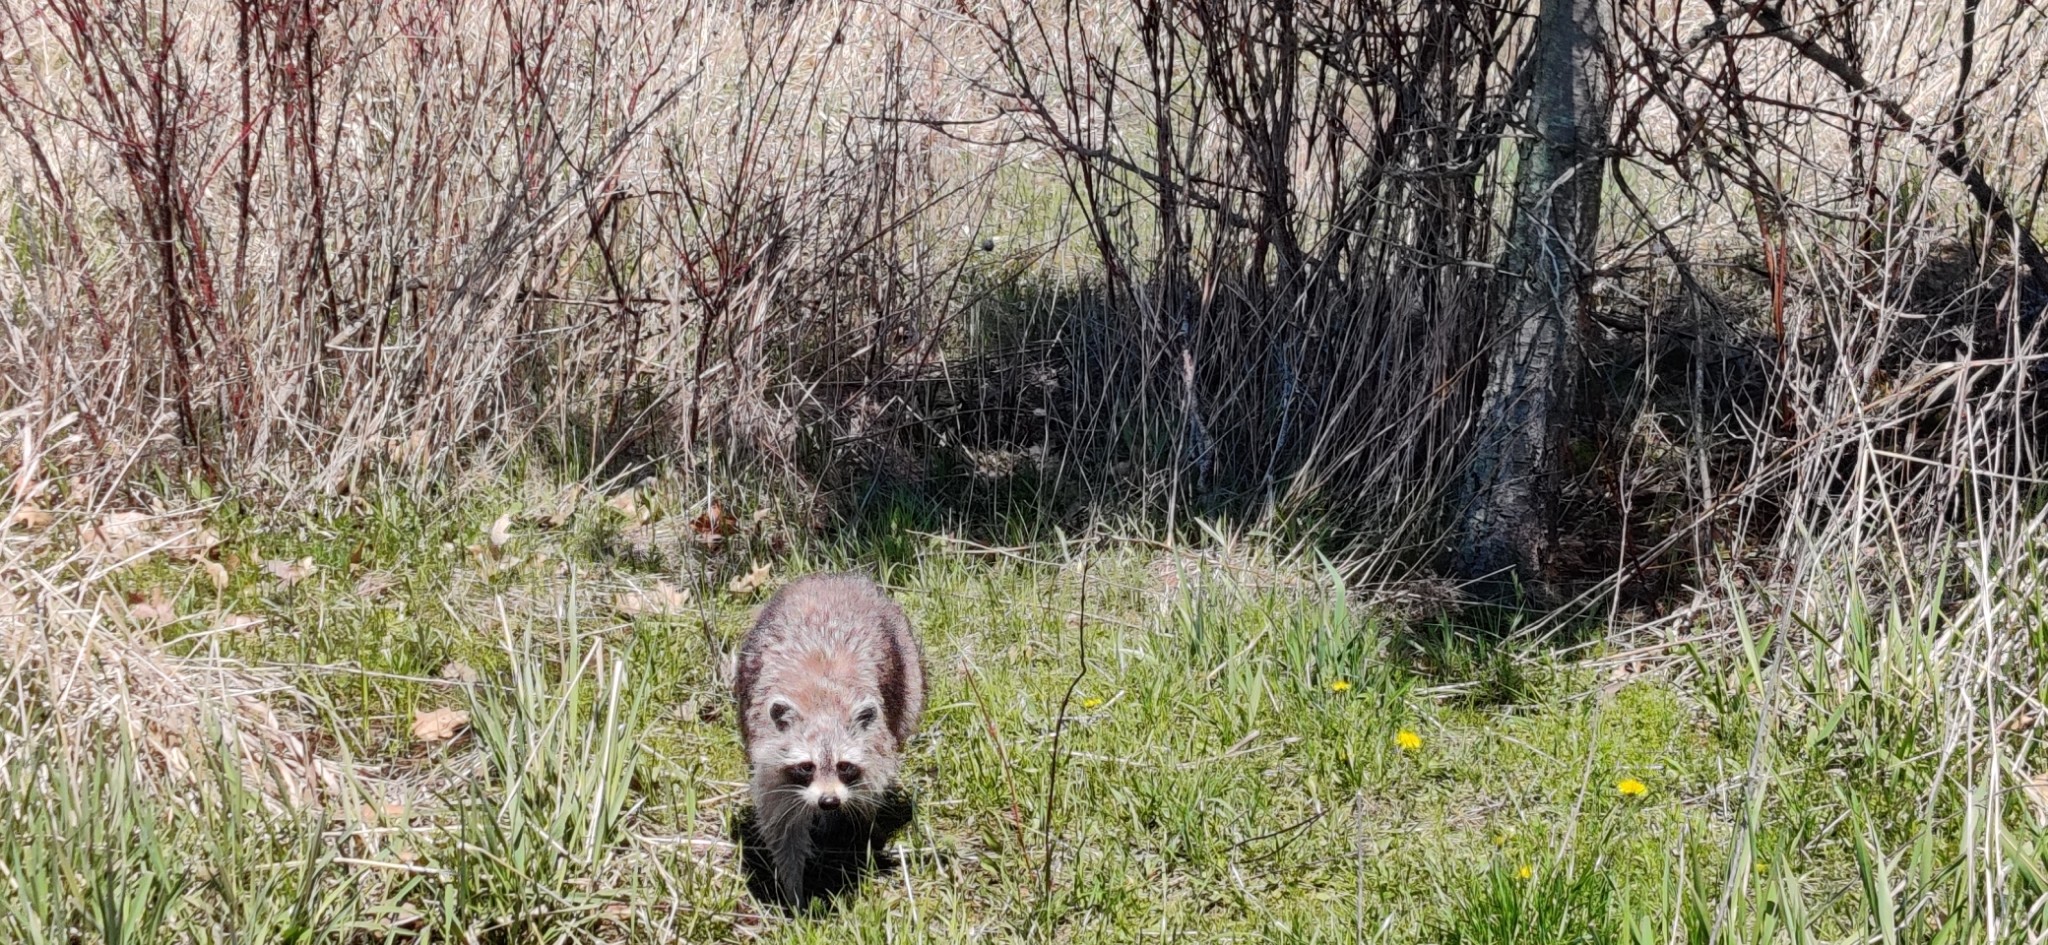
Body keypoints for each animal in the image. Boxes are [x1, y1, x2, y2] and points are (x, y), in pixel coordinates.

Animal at [733, 569, 925, 901]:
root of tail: (834, 576)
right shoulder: (769, 753)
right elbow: (782, 823)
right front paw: (793, 889)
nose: (829, 801)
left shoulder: (876, 746)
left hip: (907, 662)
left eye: (844, 766)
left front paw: (862, 839)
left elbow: (866, 800)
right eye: (806, 766)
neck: (823, 704)